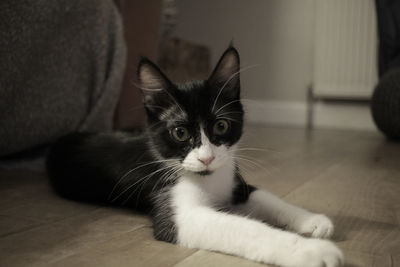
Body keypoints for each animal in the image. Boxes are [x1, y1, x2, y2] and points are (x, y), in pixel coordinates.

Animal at [45, 47, 342, 266]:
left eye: (221, 126)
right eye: (180, 132)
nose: (207, 158)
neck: (208, 177)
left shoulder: (233, 180)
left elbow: (265, 196)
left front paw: (313, 220)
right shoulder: (175, 208)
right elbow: (245, 228)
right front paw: (313, 252)